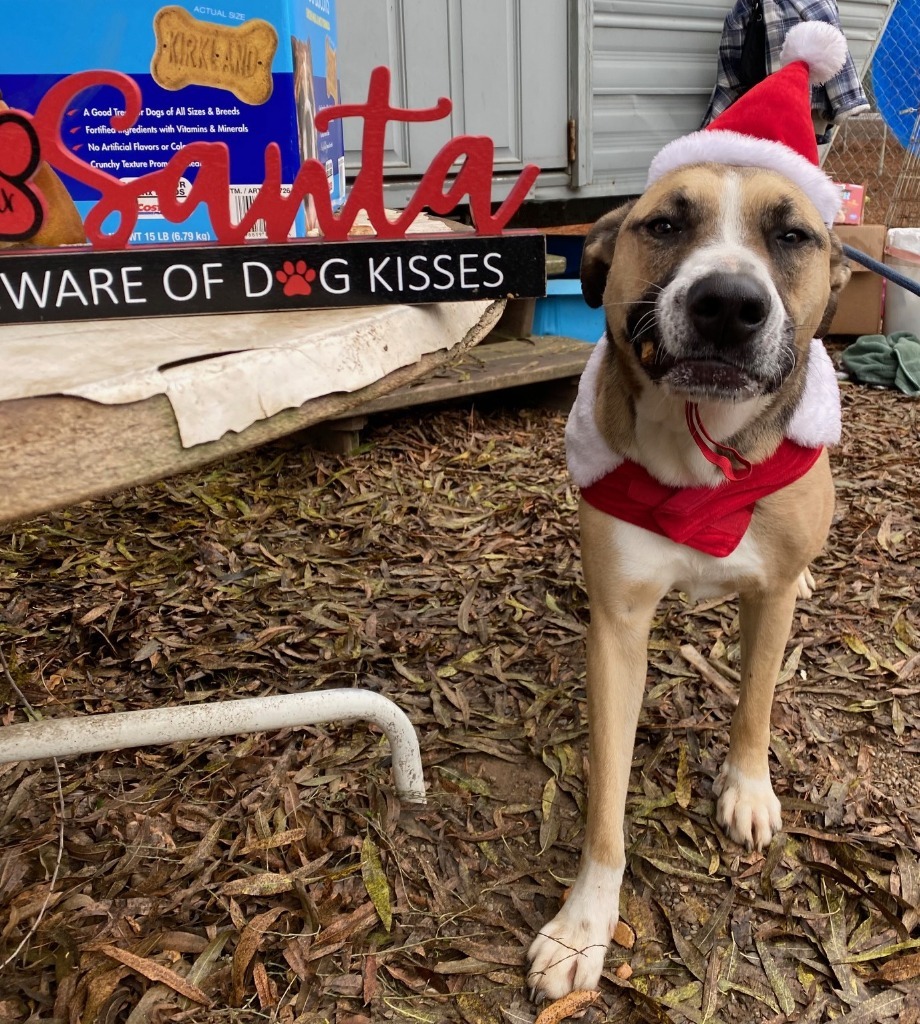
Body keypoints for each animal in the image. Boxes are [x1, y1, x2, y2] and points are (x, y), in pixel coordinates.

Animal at [528, 22, 856, 999]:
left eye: (792, 235)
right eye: (665, 224)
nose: (728, 304)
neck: (704, 456)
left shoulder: (768, 597)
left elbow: (755, 701)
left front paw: (747, 787)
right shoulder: (618, 624)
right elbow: (606, 792)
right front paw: (585, 923)